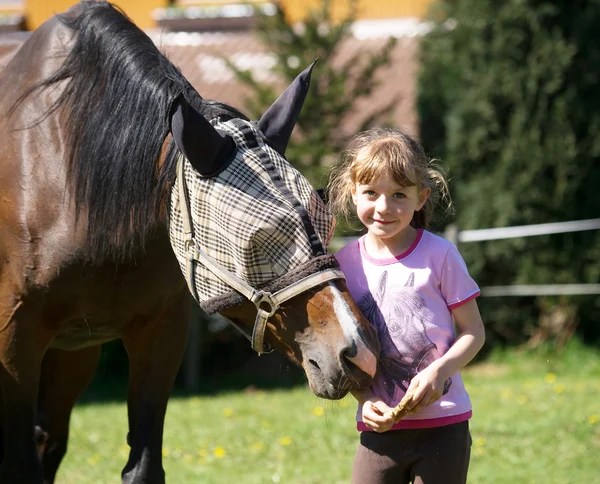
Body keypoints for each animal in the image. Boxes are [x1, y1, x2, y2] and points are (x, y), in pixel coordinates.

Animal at [0, 1, 380, 482]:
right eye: (254, 238)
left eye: (324, 220)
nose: (358, 352)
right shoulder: (15, 339)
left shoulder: (161, 331)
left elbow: (143, 466)